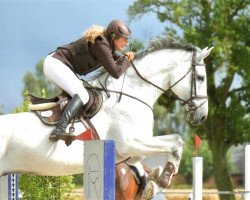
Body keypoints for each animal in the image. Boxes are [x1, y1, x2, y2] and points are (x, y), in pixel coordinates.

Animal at [0, 35, 213, 198]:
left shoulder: (134, 145)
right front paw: (163, 178)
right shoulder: (129, 143)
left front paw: (155, 177)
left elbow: (175, 140)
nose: (202, 116)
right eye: (201, 78)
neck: (132, 92)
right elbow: (175, 147)